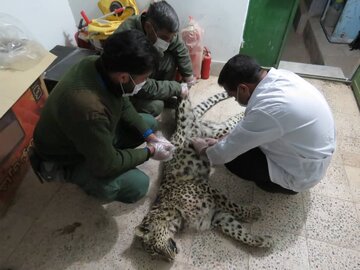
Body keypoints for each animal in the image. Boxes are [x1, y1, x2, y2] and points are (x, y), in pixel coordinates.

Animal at [135, 91, 272, 262]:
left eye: (154, 248)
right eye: (153, 255)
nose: (170, 259)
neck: (174, 216)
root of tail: (176, 131)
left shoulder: (207, 190)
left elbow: (234, 207)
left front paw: (252, 213)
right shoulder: (217, 216)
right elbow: (238, 232)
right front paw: (261, 240)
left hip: (190, 117)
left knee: (184, 103)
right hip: (218, 130)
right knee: (232, 124)